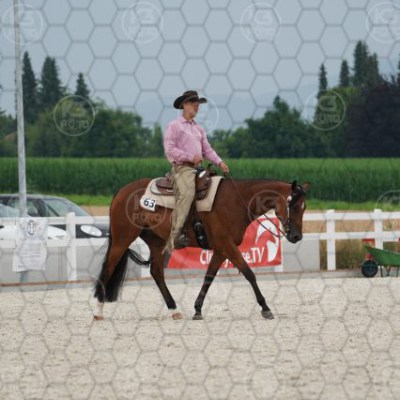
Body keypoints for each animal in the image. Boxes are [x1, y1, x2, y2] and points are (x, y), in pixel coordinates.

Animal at [93, 177, 310, 320]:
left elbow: (209, 277)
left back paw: (174, 310)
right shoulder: (227, 245)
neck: (236, 201)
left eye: (305, 207)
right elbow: (249, 273)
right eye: (294, 206)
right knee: (108, 268)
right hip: (122, 238)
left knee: (156, 272)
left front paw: (197, 309)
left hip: (156, 242)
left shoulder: (221, 250)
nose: (297, 236)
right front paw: (265, 307)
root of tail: (121, 192)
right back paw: (98, 311)